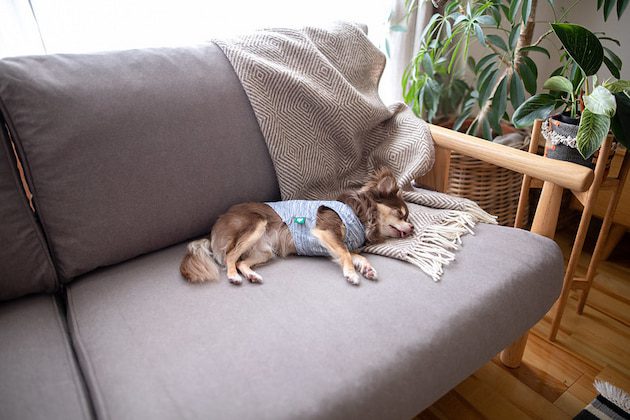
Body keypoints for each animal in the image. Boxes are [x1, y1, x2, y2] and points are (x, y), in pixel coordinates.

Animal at [181, 167, 414, 286]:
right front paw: (352, 274)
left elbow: (356, 255)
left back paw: (251, 275)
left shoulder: (335, 244)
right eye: (401, 214)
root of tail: (214, 230)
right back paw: (233, 276)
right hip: (256, 224)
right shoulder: (326, 232)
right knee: (230, 256)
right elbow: (346, 254)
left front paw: (367, 268)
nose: (412, 228)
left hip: (265, 251)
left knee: (241, 261)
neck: (359, 215)